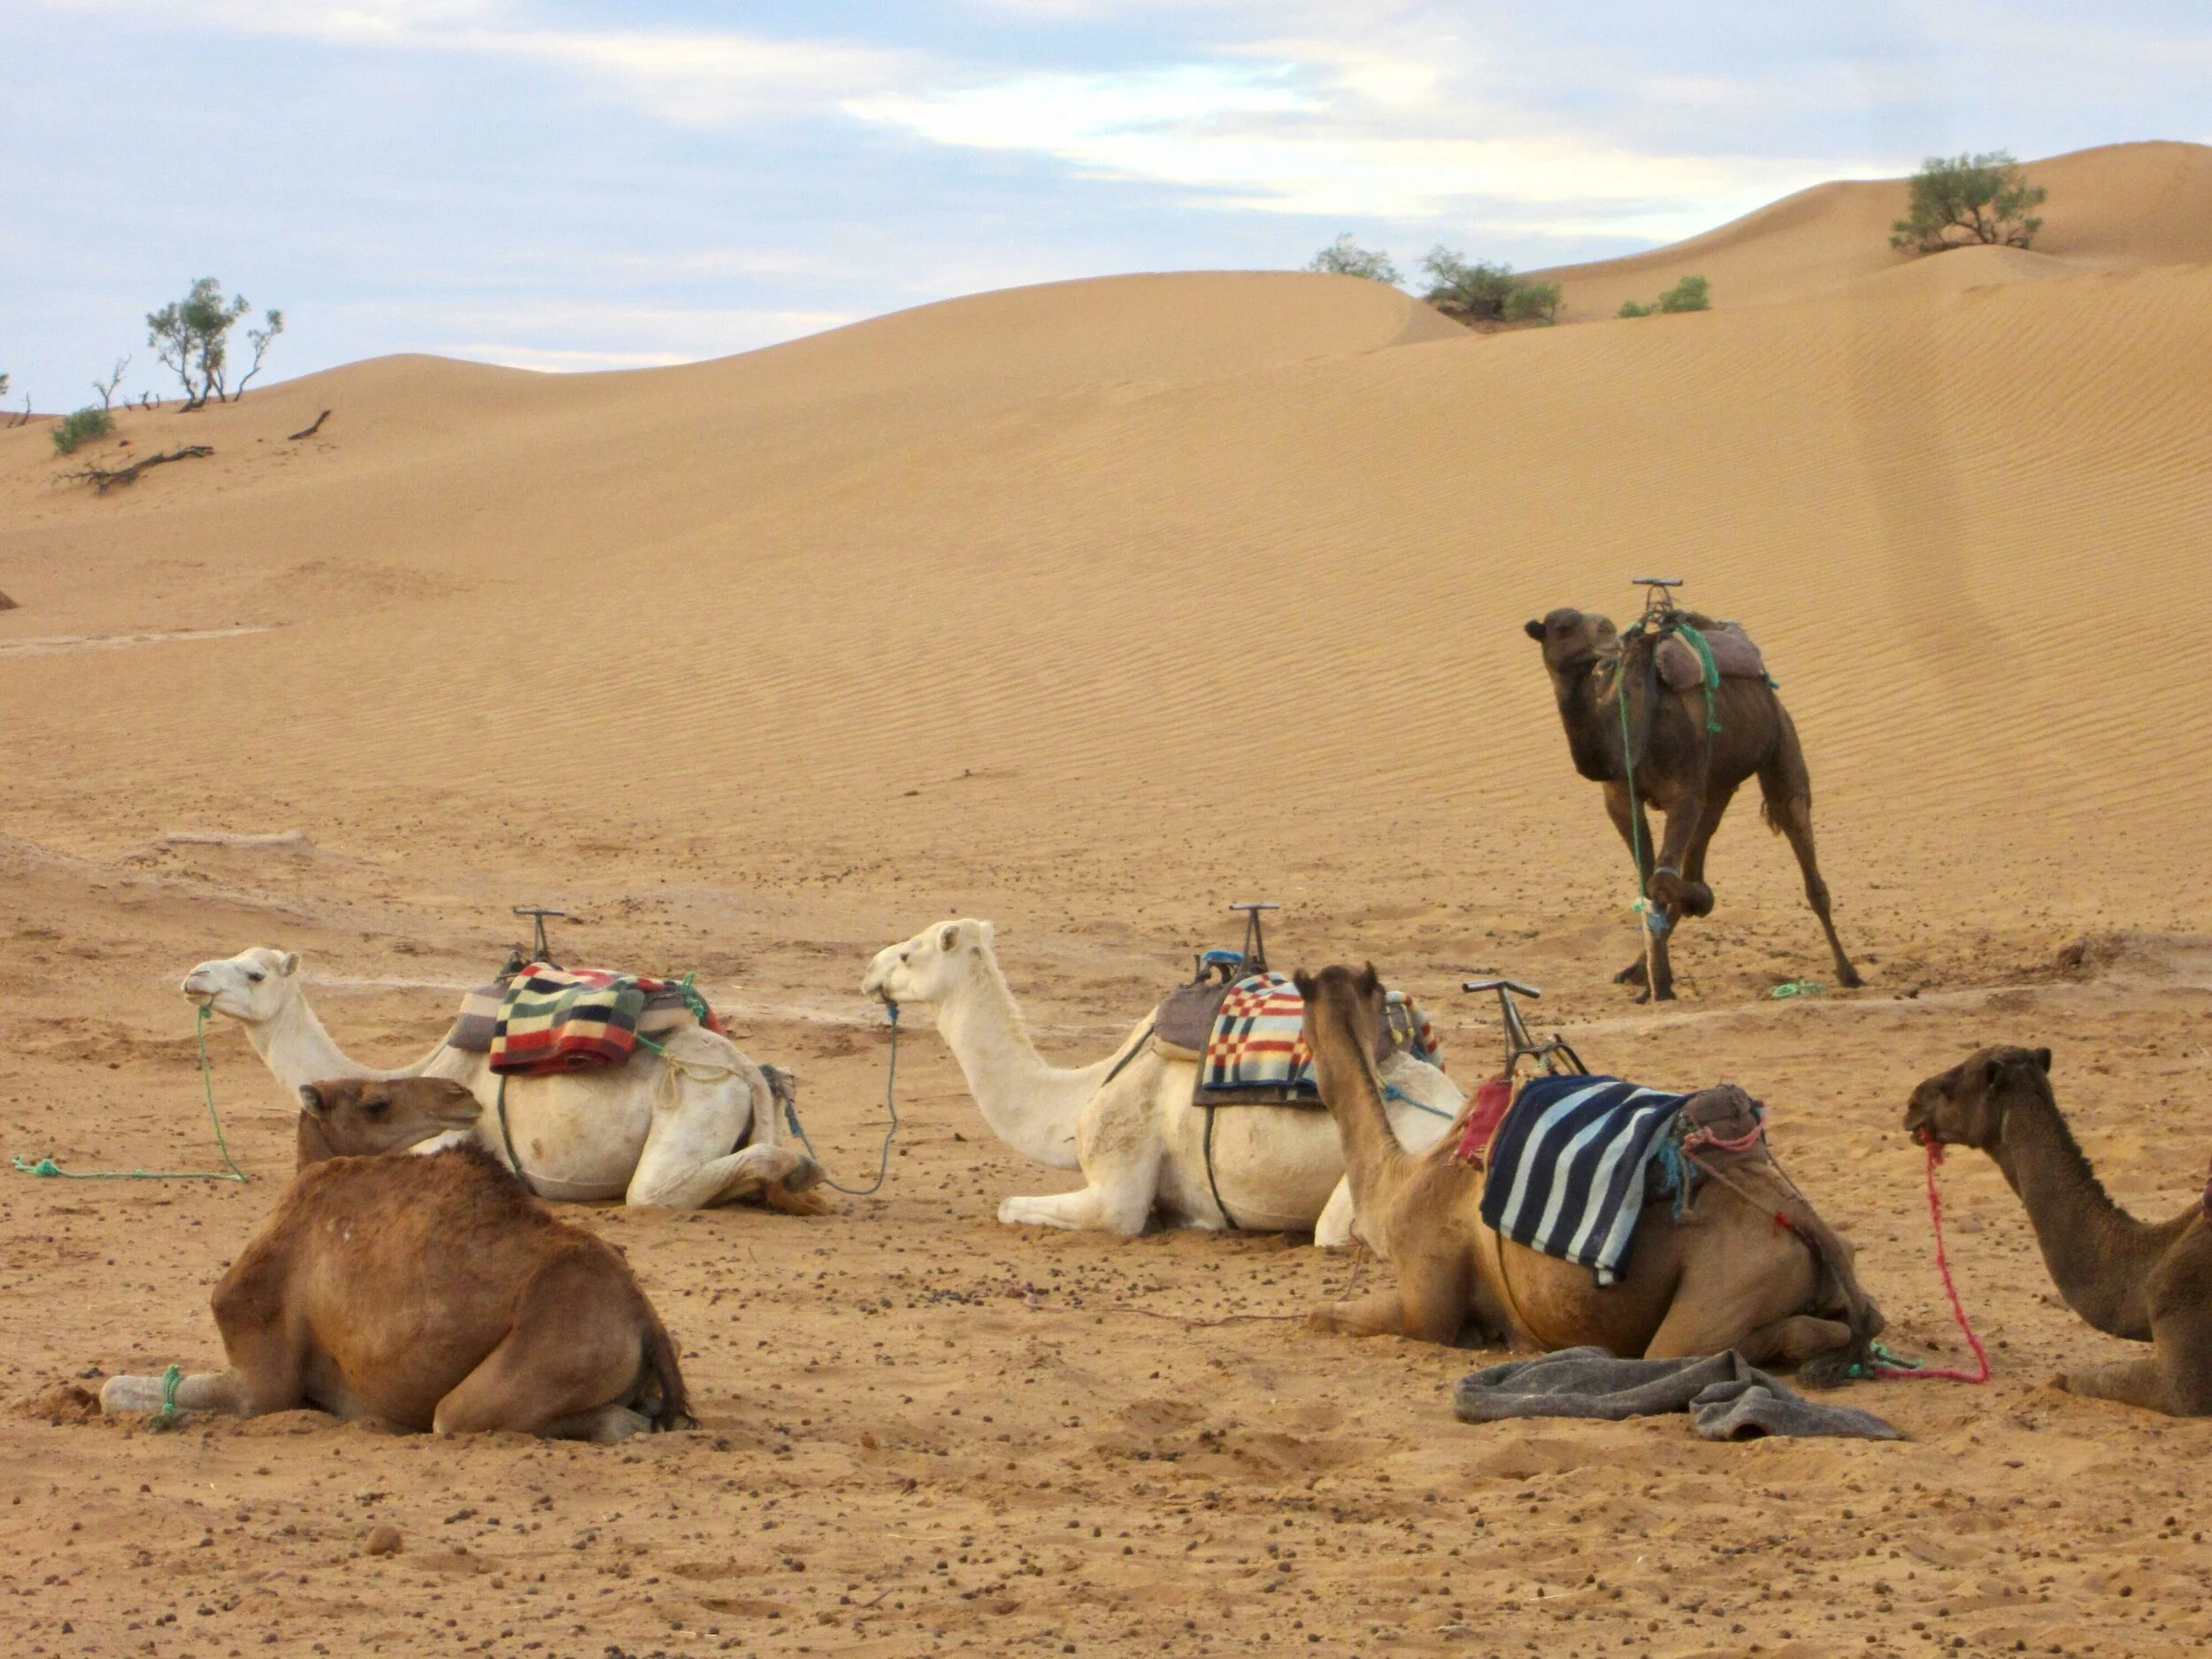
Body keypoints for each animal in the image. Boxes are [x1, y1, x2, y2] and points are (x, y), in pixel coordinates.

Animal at [102, 1097, 690, 1442]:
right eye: (377, 1104)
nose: (462, 1100)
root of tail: (644, 1318)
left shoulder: (261, 1380)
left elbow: (114, 1387)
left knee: (462, 1417)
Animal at [183, 946, 820, 1212]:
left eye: (255, 973)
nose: (194, 977)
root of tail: (743, 1068)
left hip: (697, 1101)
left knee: (656, 1190)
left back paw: (796, 1174)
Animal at [1296, 963, 1880, 1372]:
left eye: (1300, 1022)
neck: (1398, 1178)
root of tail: (1801, 1220)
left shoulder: (1426, 1292)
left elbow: (1326, 1314)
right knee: (1865, 1311)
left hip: (1730, 1284)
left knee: (1692, 1349)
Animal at [1525, 606, 1858, 1001]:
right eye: (1562, 627)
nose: (1608, 631)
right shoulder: (1620, 798)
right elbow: (1649, 883)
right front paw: (1659, 978)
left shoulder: (1683, 795)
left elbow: (1661, 883)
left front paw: (1674, 955)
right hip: (1718, 785)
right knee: (1699, 851)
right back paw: (1638, 971)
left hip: (1779, 740)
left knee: (1798, 833)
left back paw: (1849, 972)